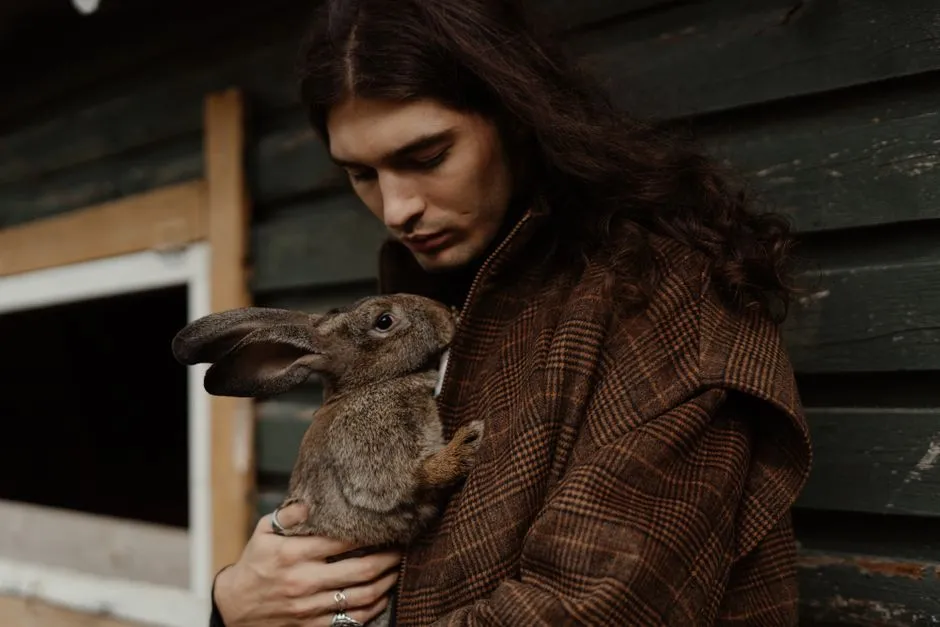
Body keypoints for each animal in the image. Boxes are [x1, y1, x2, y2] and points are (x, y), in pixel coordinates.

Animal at [170, 293, 483, 626]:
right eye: (384, 321)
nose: (445, 313)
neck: (368, 385)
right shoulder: (373, 454)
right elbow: (414, 476)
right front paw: (465, 446)